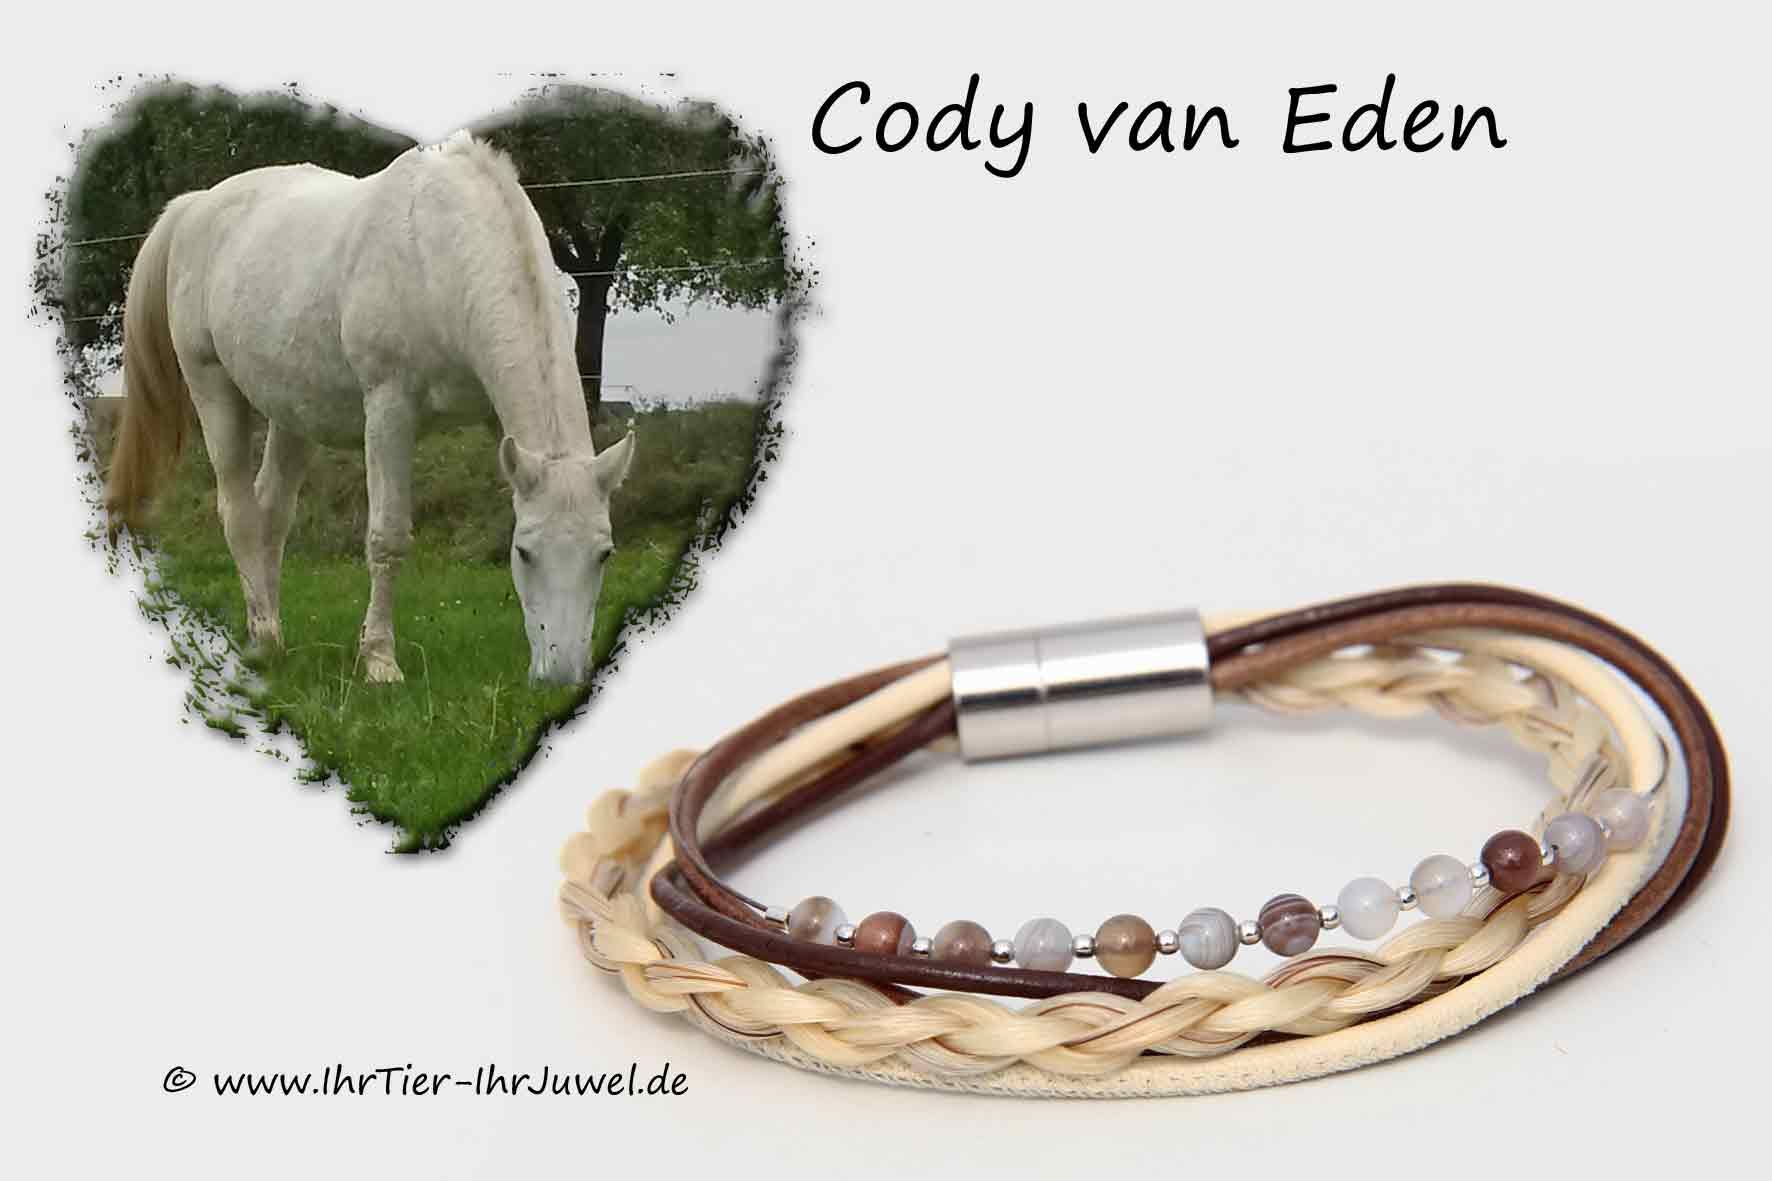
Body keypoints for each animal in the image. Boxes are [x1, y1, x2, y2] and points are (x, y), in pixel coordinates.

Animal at [103, 132, 634, 686]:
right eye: (525, 553)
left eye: (605, 554)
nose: (561, 677)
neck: (439, 252)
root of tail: (195, 207)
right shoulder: (388, 409)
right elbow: (387, 537)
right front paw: (379, 661)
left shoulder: (497, 420)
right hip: (213, 389)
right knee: (240, 513)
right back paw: (265, 637)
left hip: (292, 412)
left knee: (272, 510)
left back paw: (268, 632)